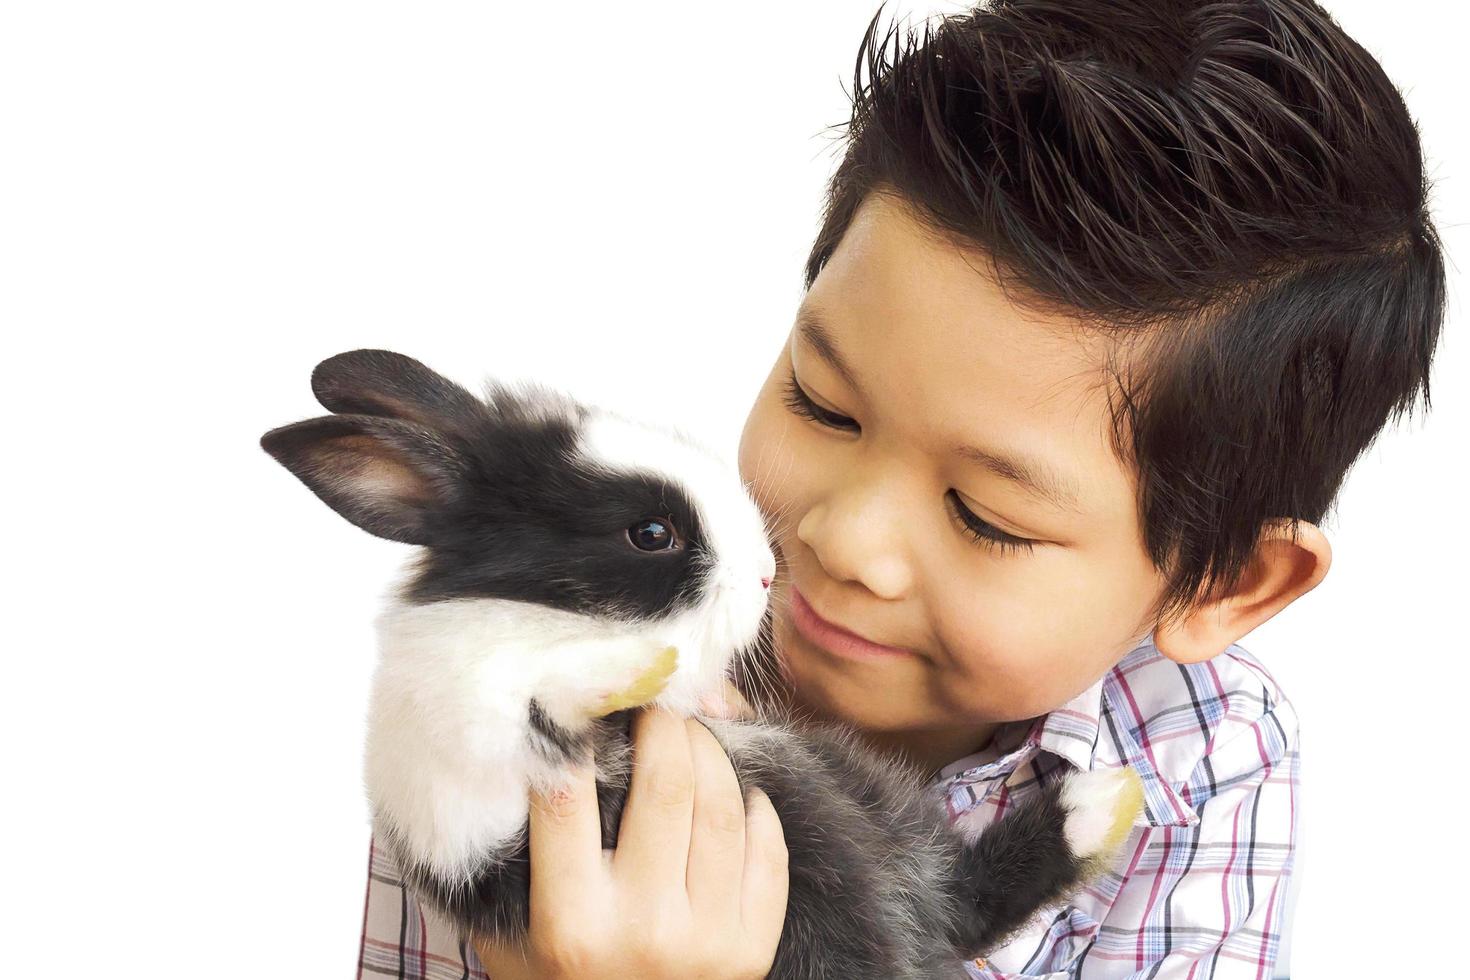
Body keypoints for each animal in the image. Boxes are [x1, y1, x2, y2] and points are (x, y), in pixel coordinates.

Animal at [258, 348, 1140, 975]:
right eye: (651, 533)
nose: (767, 573)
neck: (539, 612)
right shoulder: (469, 772)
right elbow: (533, 698)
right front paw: (641, 666)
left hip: (856, 800)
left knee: (960, 899)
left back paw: (1099, 800)